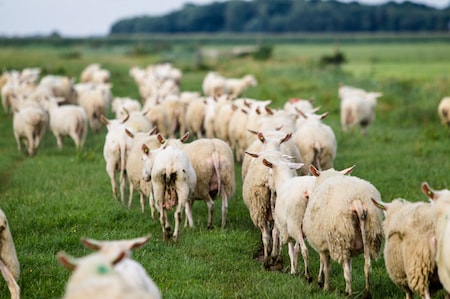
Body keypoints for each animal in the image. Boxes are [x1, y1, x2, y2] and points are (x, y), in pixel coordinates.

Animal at [302, 166, 384, 298]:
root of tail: (357, 199)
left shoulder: (323, 246)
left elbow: (326, 267)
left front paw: (324, 286)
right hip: (370, 236)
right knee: (367, 266)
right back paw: (367, 293)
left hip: (341, 238)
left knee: (347, 273)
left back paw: (349, 293)